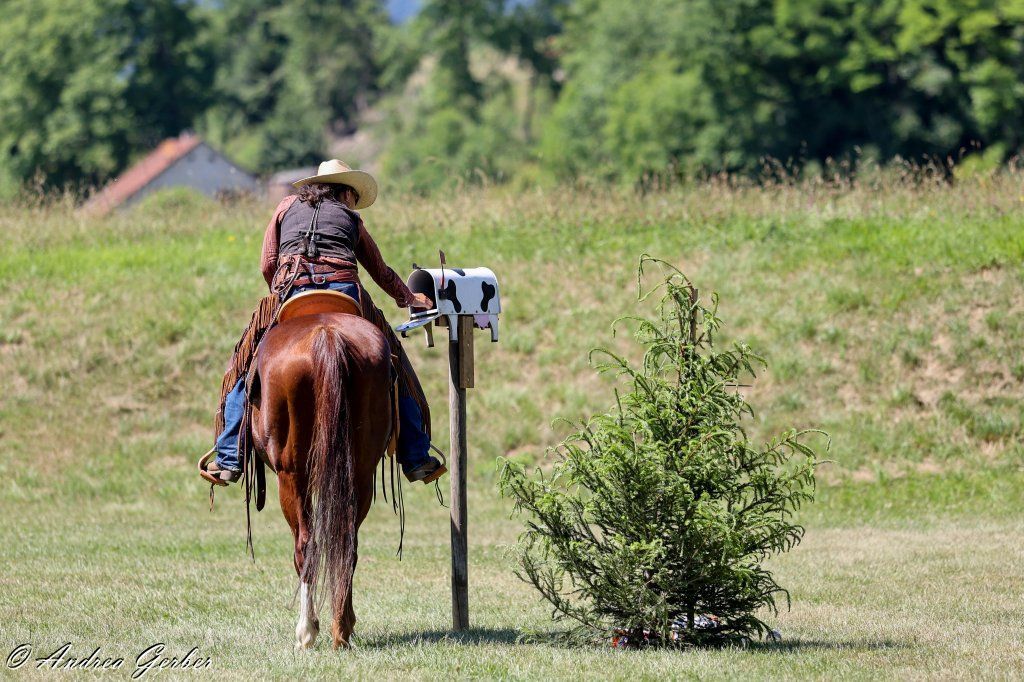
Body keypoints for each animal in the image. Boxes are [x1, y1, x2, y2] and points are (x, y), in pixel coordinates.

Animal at [249, 307, 393, 650]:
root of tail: (327, 338)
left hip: (292, 475)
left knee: (306, 544)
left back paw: (306, 630)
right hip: (360, 473)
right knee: (347, 540)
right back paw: (342, 627)